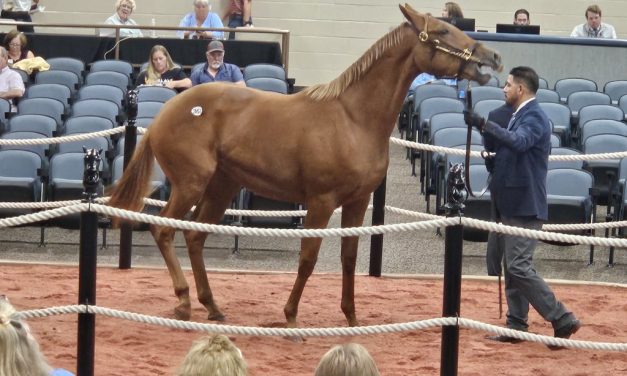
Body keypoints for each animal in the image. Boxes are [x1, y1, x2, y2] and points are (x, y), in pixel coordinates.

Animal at [106, 2, 500, 328]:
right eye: (443, 31)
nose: (492, 57)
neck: (353, 118)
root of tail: (164, 115)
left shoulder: (357, 203)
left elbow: (348, 257)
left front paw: (352, 317)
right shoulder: (321, 201)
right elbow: (309, 257)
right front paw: (291, 313)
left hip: (221, 187)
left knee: (194, 236)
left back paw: (212, 306)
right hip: (191, 184)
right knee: (164, 230)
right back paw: (185, 302)